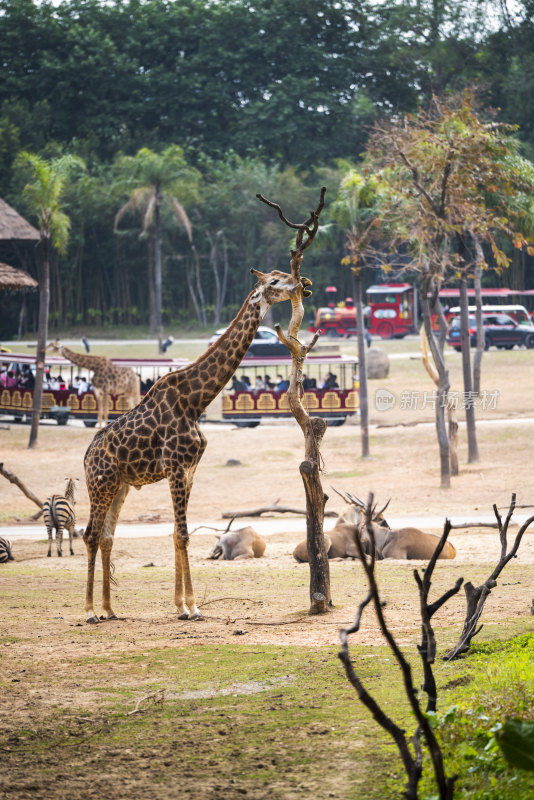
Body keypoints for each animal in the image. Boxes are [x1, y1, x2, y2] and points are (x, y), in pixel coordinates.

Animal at [81, 268, 308, 624]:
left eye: (282, 274)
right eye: (273, 282)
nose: (302, 284)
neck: (195, 401)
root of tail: (86, 456)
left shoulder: (189, 470)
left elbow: (177, 533)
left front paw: (182, 606)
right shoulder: (175, 467)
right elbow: (183, 534)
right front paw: (191, 607)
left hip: (120, 486)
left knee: (106, 536)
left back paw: (109, 609)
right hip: (100, 484)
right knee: (90, 534)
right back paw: (90, 611)